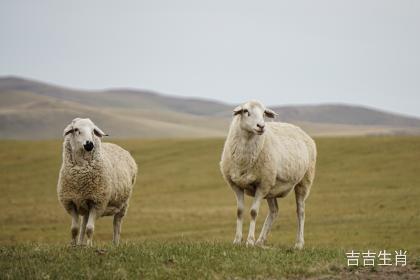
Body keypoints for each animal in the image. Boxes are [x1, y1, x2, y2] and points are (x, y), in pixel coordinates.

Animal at [55, 117, 137, 246]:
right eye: (76, 129)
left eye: (93, 130)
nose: (89, 144)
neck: (80, 175)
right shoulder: (71, 202)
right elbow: (74, 229)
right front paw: (73, 245)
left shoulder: (97, 202)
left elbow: (90, 228)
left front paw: (89, 246)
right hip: (85, 203)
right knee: (83, 223)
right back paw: (80, 243)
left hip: (123, 203)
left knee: (117, 224)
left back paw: (115, 244)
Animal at [220, 99, 316, 248]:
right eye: (246, 111)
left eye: (264, 113)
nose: (261, 126)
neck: (244, 160)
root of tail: (300, 130)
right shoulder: (236, 185)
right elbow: (239, 212)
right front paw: (237, 240)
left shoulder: (262, 185)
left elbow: (253, 212)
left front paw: (249, 241)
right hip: (272, 186)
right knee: (274, 211)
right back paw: (261, 240)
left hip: (303, 181)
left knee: (300, 211)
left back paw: (299, 243)